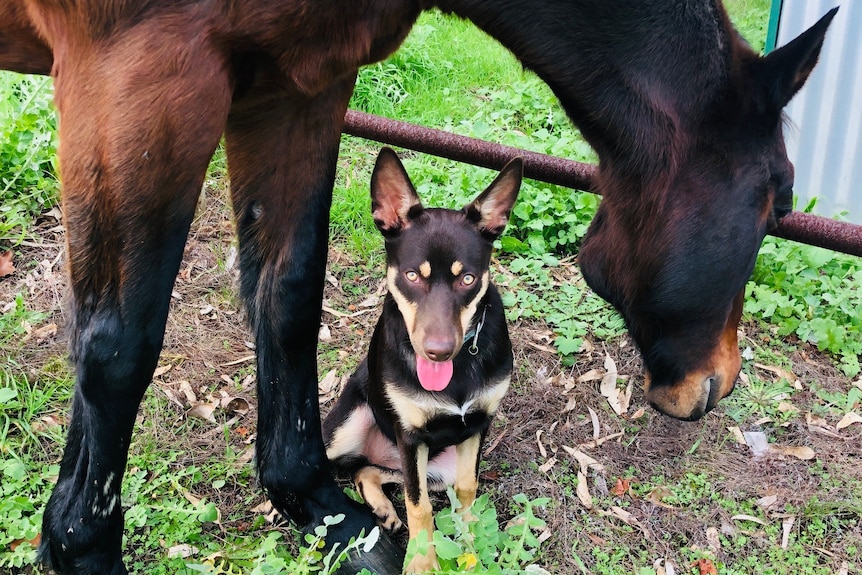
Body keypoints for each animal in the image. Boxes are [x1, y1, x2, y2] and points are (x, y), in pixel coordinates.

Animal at [324, 147, 524, 572]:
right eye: (413, 275)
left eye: (467, 279)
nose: (438, 351)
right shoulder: (410, 435)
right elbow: (420, 507)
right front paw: (421, 562)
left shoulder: (477, 426)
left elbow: (467, 490)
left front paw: (469, 547)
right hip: (352, 428)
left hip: (431, 465)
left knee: (368, 470)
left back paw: (383, 508)